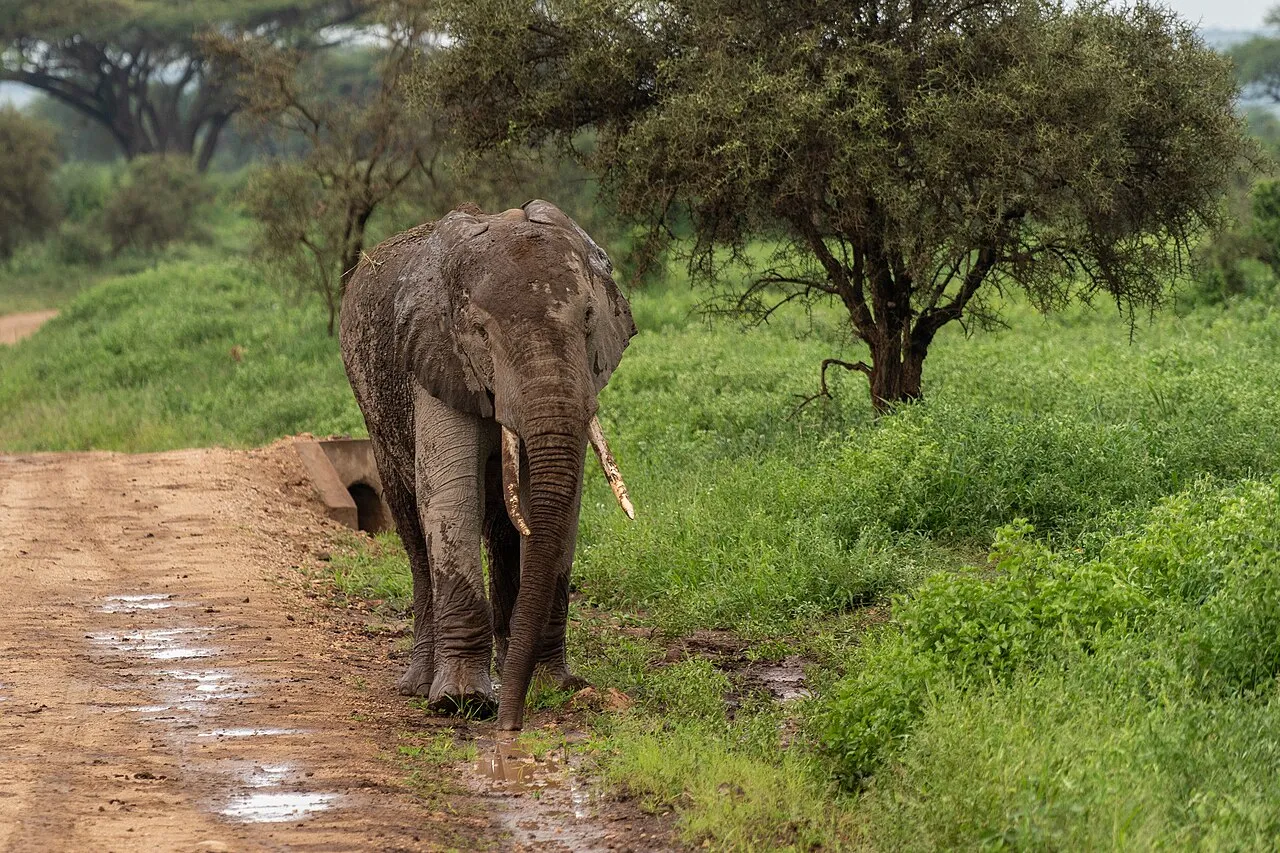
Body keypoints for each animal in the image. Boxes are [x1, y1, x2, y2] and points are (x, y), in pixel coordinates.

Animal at [339, 199, 637, 731]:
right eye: (479, 333)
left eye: (588, 319)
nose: (512, 727)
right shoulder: (436, 355)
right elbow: (450, 497)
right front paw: (463, 702)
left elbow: (562, 505)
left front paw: (556, 687)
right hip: (372, 413)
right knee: (412, 525)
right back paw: (420, 686)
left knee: (502, 525)